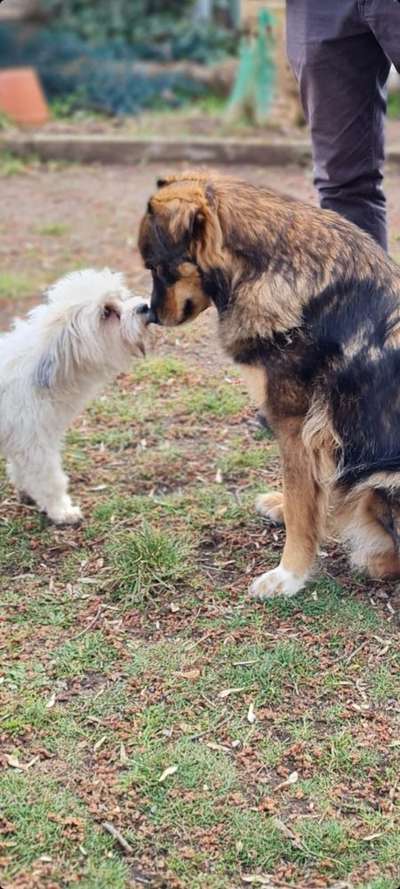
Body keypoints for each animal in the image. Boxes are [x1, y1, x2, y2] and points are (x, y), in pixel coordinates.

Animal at [0, 268, 148, 524]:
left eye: (120, 298)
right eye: (107, 312)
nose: (145, 307)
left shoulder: (20, 440)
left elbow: (20, 467)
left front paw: (26, 491)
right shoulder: (36, 443)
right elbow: (50, 480)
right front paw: (61, 511)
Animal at [138, 170, 400, 600]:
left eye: (158, 267)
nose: (151, 316)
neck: (273, 266)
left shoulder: (297, 427)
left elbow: (301, 507)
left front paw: (289, 574)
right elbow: (304, 496)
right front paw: (288, 508)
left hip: (383, 477)